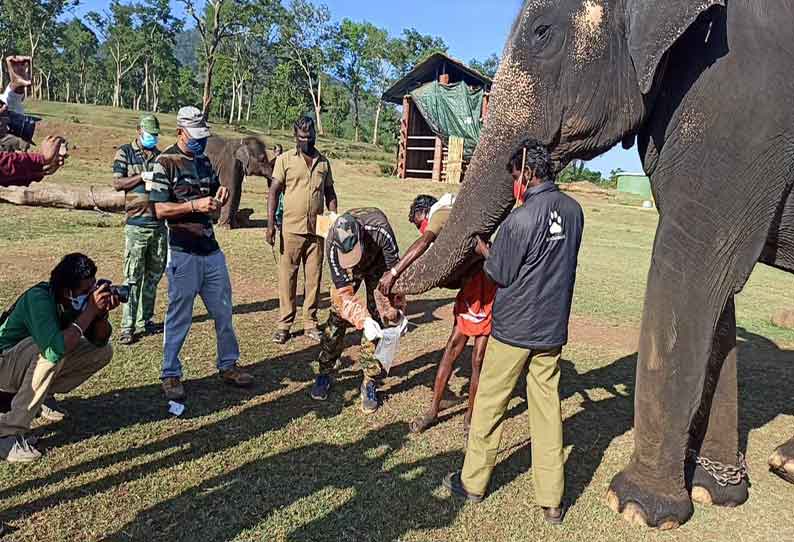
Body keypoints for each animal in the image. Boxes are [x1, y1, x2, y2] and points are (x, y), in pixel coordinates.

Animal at [394, 0, 792, 532]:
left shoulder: (740, 106)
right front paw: (716, 492)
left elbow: (694, 266)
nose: (390, 292)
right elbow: (720, 295)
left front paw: (639, 507)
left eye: (543, 33)